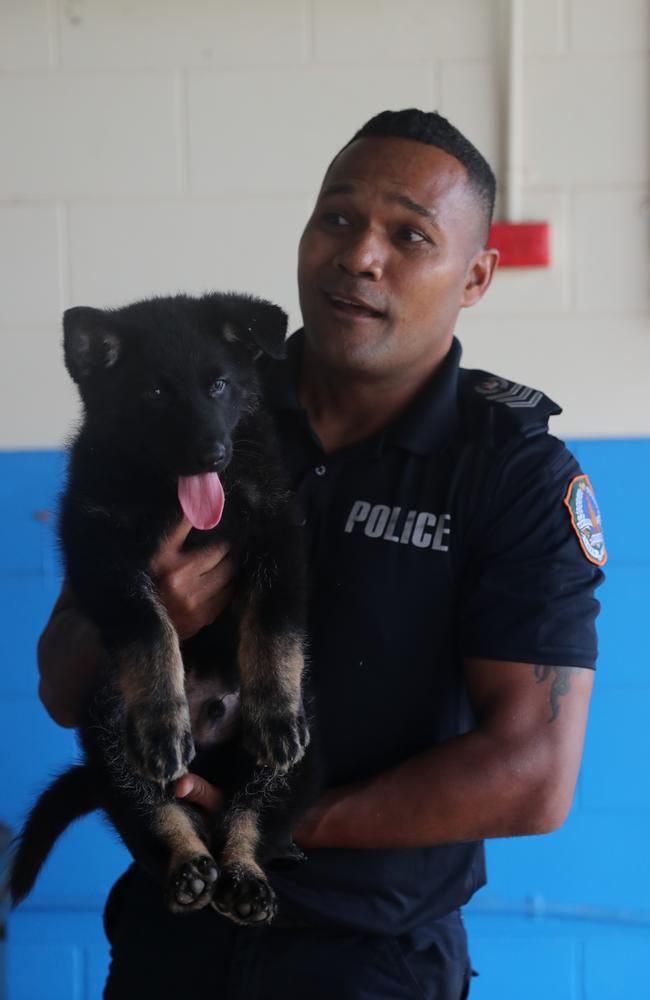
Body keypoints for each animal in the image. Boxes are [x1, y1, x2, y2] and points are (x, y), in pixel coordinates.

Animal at [10, 292, 314, 924]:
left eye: (219, 384)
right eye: (153, 393)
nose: (212, 453)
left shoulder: (277, 536)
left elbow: (273, 628)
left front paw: (275, 711)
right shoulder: (100, 553)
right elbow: (150, 628)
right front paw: (161, 718)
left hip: (307, 747)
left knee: (254, 812)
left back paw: (245, 872)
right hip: (105, 724)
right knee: (153, 810)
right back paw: (189, 865)